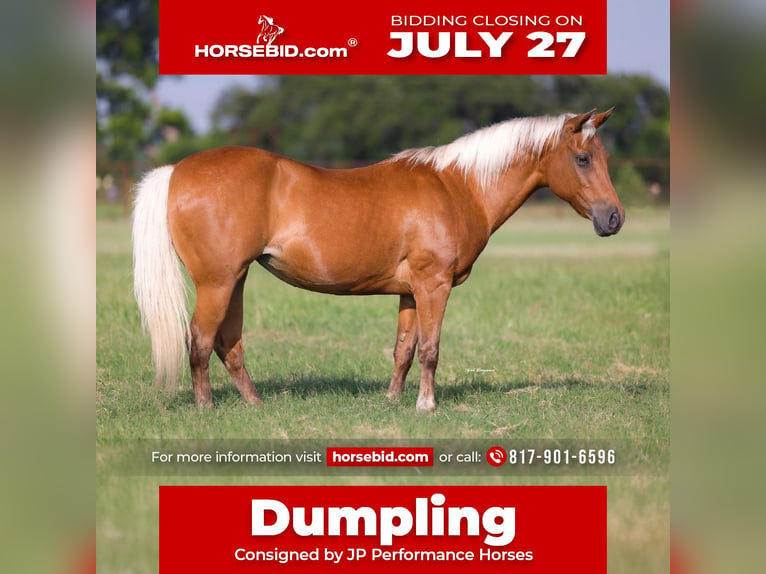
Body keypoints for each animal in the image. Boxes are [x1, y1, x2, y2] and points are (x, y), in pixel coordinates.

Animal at [132, 108, 624, 412]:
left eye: (603, 156)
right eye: (583, 158)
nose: (614, 218)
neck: (457, 187)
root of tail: (176, 171)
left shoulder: (410, 291)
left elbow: (403, 350)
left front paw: (392, 402)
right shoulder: (433, 285)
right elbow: (430, 349)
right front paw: (426, 405)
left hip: (235, 280)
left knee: (227, 343)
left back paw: (255, 405)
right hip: (217, 282)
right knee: (199, 340)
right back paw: (205, 407)